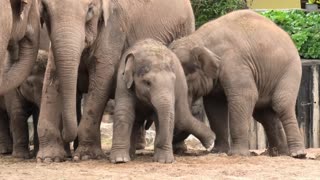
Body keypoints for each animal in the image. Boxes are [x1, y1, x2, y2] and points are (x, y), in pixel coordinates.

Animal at [36, 0, 194, 162]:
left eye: (90, 10)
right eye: (45, 9)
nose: (65, 135)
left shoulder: (113, 28)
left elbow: (101, 80)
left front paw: (86, 156)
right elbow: (51, 80)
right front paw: (49, 158)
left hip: (185, 29)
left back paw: (177, 149)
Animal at [169, 9, 306, 158]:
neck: (198, 39)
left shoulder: (234, 62)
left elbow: (245, 96)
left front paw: (238, 154)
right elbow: (214, 105)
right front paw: (218, 152)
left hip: (291, 70)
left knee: (281, 104)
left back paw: (298, 154)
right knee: (264, 114)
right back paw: (279, 153)